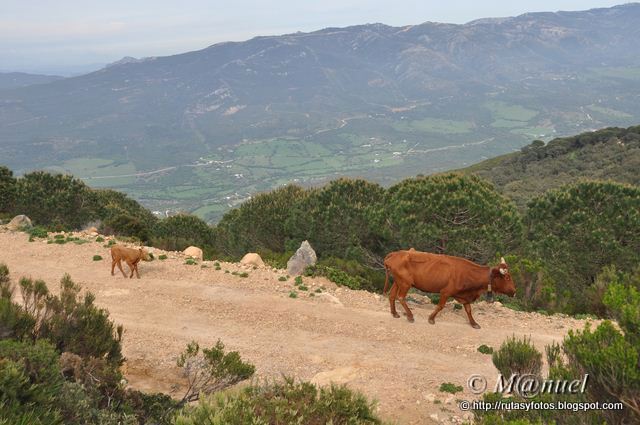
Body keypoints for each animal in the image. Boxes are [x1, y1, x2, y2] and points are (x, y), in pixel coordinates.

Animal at [384, 248, 516, 328]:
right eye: (507, 277)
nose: (514, 291)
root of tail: (396, 253)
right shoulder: (446, 292)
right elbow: (440, 306)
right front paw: (431, 319)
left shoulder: (464, 296)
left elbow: (468, 310)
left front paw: (474, 323)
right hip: (405, 283)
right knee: (401, 297)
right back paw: (410, 316)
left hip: (398, 281)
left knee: (392, 295)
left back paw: (394, 313)